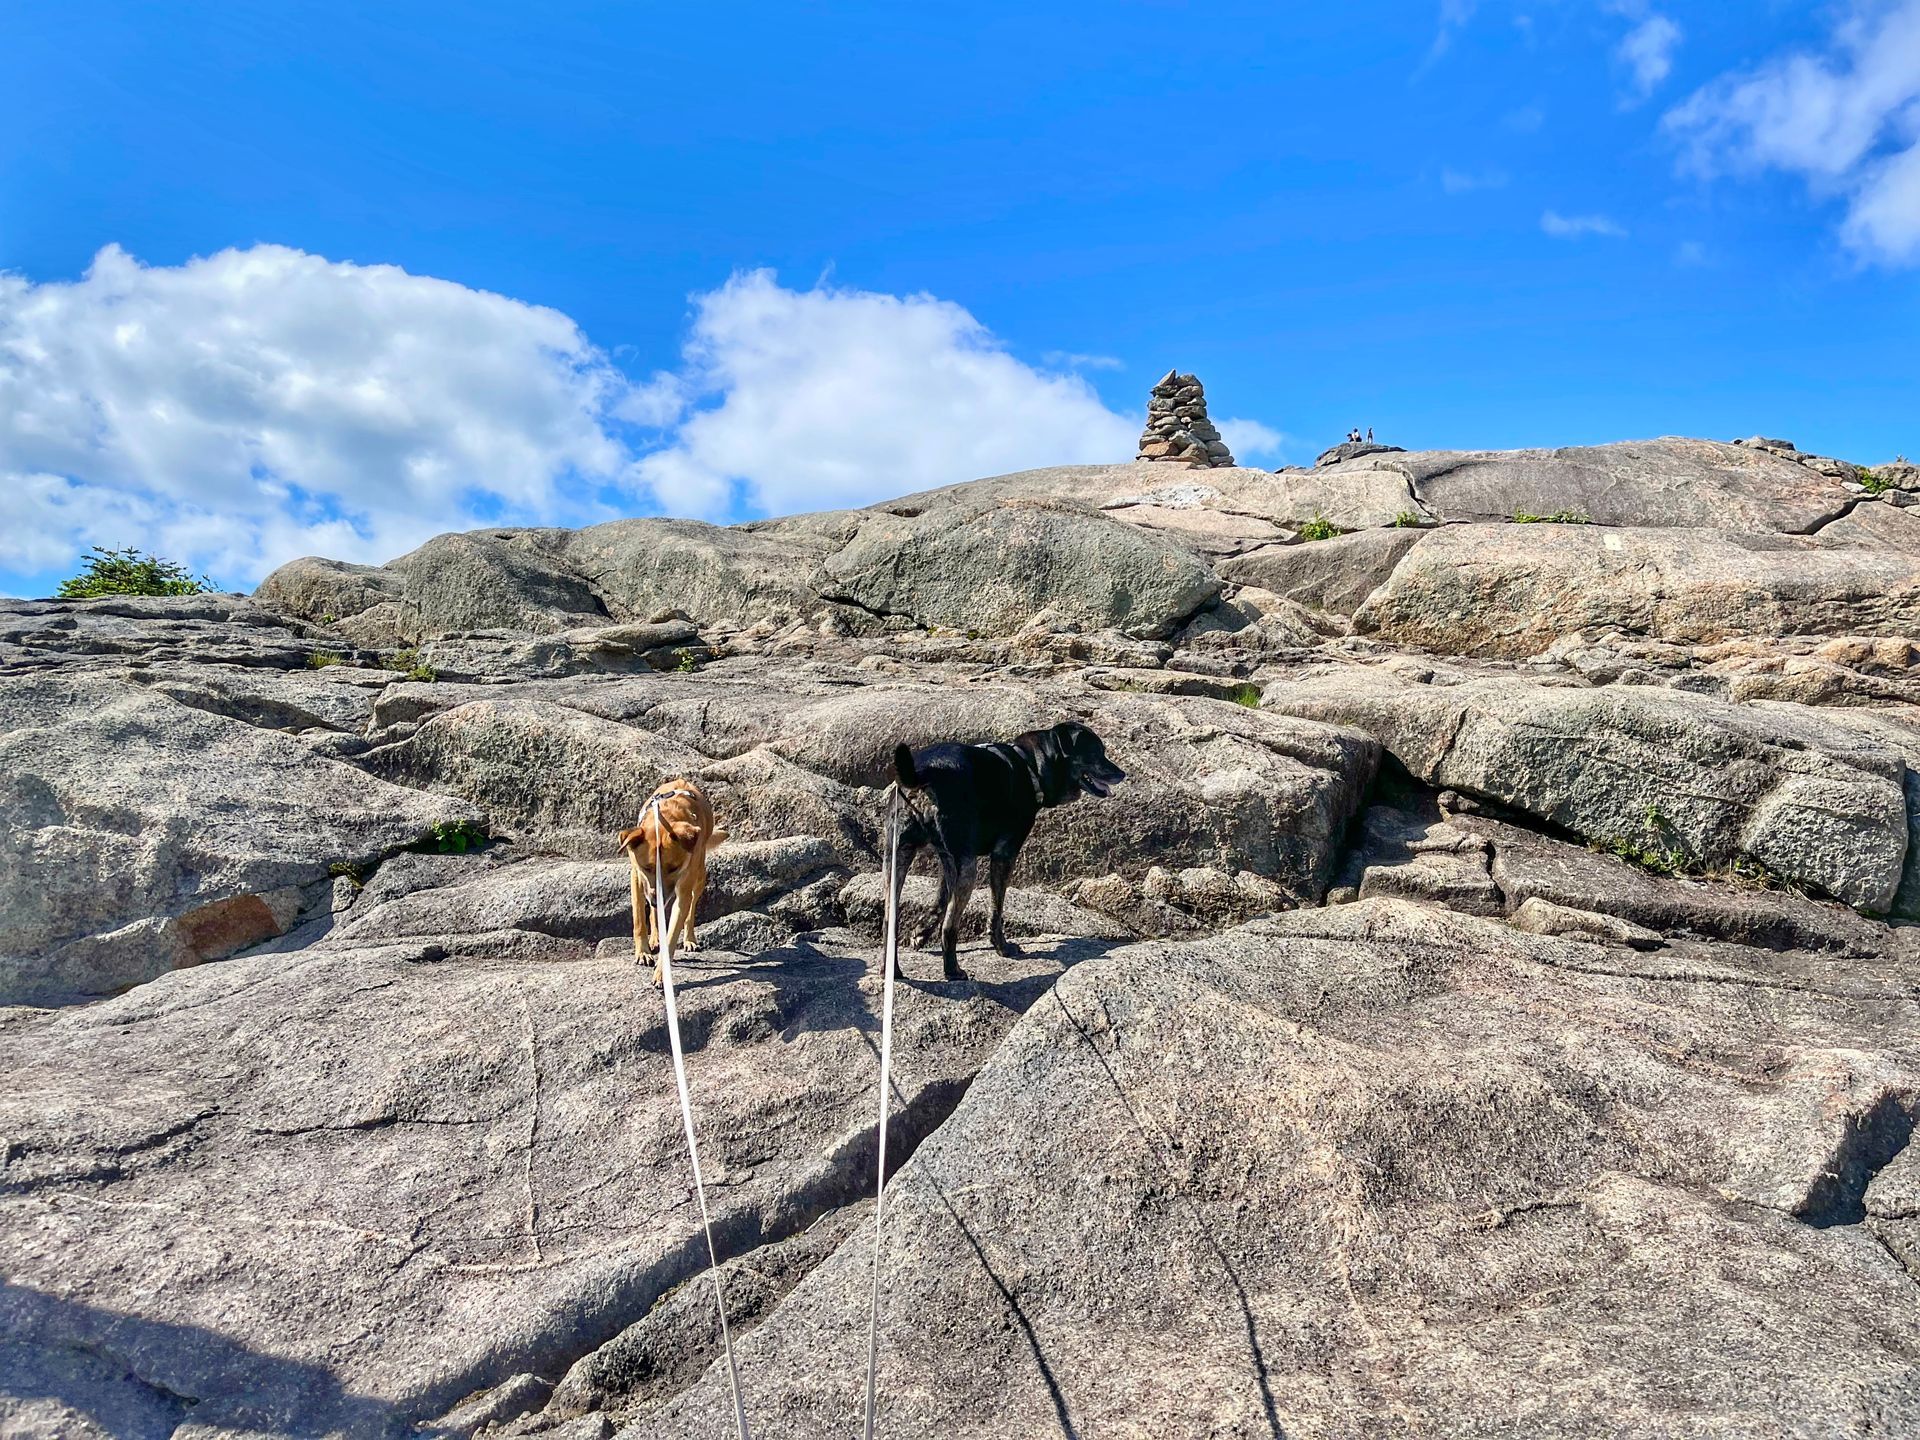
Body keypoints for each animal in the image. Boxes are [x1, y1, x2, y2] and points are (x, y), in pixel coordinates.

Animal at [622, 779, 725, 990]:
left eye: (674, 868)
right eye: (647, 867)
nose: (656, 899)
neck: (665, 820)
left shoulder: (683, 888)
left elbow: (672, 934)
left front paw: (663, 973)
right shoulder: (637, 876)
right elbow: (639, 917)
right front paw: (643, 951)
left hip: (700, 875)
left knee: (691, 910)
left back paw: (689, 939)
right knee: (653, 914)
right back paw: (654, 937)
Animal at [883, 721, 1121, 983]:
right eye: (1096, 752)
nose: (1122, 774)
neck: (1030, 766)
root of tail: (922, 773)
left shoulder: (947, 858)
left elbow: (940, 899)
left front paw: (921, 932)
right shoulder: (1004, 854)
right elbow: (996, 908)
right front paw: (1002, 947)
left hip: (896, 857)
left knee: (889, 920)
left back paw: (891, 971)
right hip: (968, 868)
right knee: (950, 927)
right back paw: (953, 970)